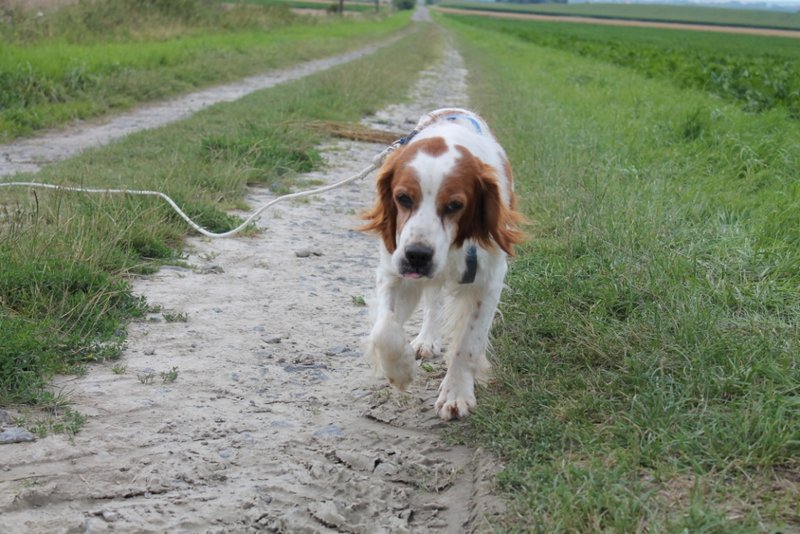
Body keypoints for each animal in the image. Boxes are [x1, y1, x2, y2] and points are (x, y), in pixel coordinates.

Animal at [362, 108, 524, 418]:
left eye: (454, 205)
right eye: (403, 198)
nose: (417, 255)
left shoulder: (489, 279)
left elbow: (468, 343)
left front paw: (456, 393)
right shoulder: (394, 271)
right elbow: (384, 330)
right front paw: (400, 371)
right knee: (432, 304)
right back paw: (426, 340)